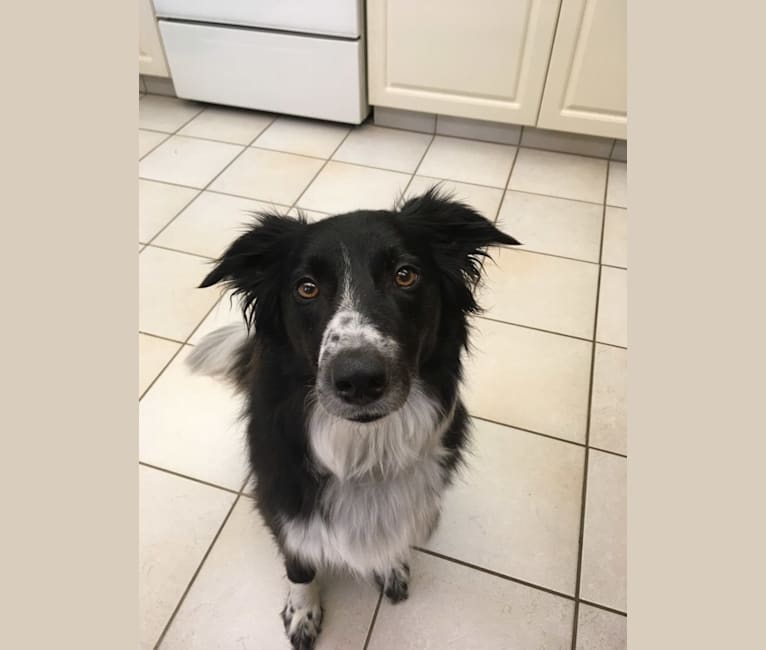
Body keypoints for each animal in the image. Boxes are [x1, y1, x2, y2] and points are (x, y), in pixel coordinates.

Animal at [188, 185, 520, 644]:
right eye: (306, 288)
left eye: (405, 275)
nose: (358, 379)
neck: (366, 449)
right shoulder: (284, 507)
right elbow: (299, 564)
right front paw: (302, 611)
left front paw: (389, 565)